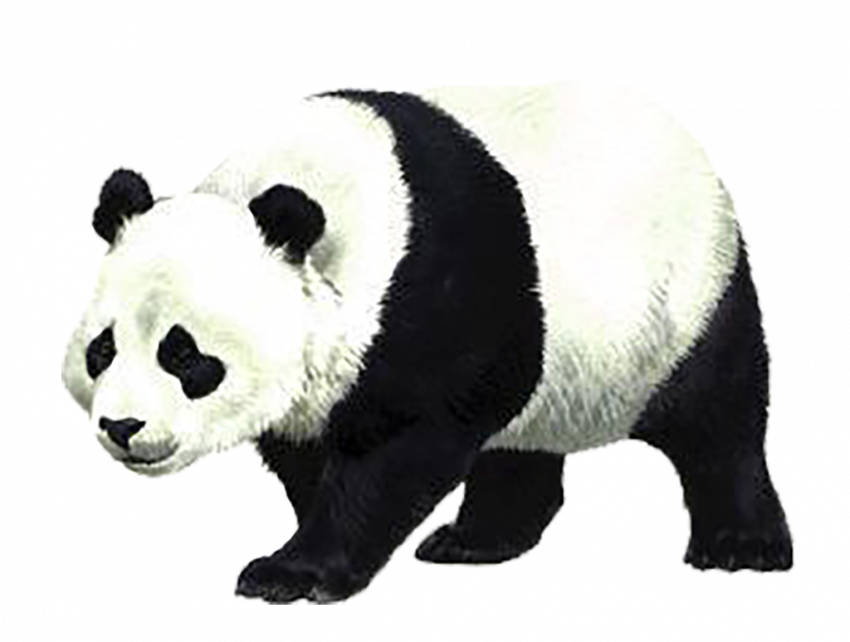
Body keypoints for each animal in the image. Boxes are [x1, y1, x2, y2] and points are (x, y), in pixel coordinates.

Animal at [61, 80, 794, 605]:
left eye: (185, 355)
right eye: (102, 350)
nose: (123, 427)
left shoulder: (437, 292)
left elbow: (407, 443)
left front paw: (292, 574)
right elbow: (314, 448)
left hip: (681, 296)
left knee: (718, 416)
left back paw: (740, 547)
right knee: (521, 441)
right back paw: (478, 539)